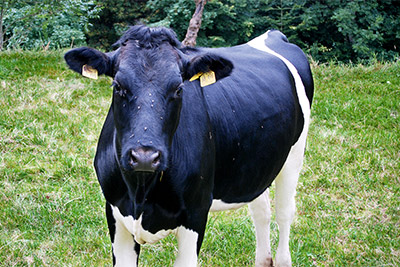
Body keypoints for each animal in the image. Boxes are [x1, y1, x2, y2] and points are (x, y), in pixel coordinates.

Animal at [64, 24, 314, 266]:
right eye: (118, 86)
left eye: (178, 88)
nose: (144, 157)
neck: (141, 193)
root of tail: (273, 34)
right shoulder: (114, 209)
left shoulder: (196, 212)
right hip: (257, 165)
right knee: (261, 211)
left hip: (294, 155)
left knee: (284, 213)